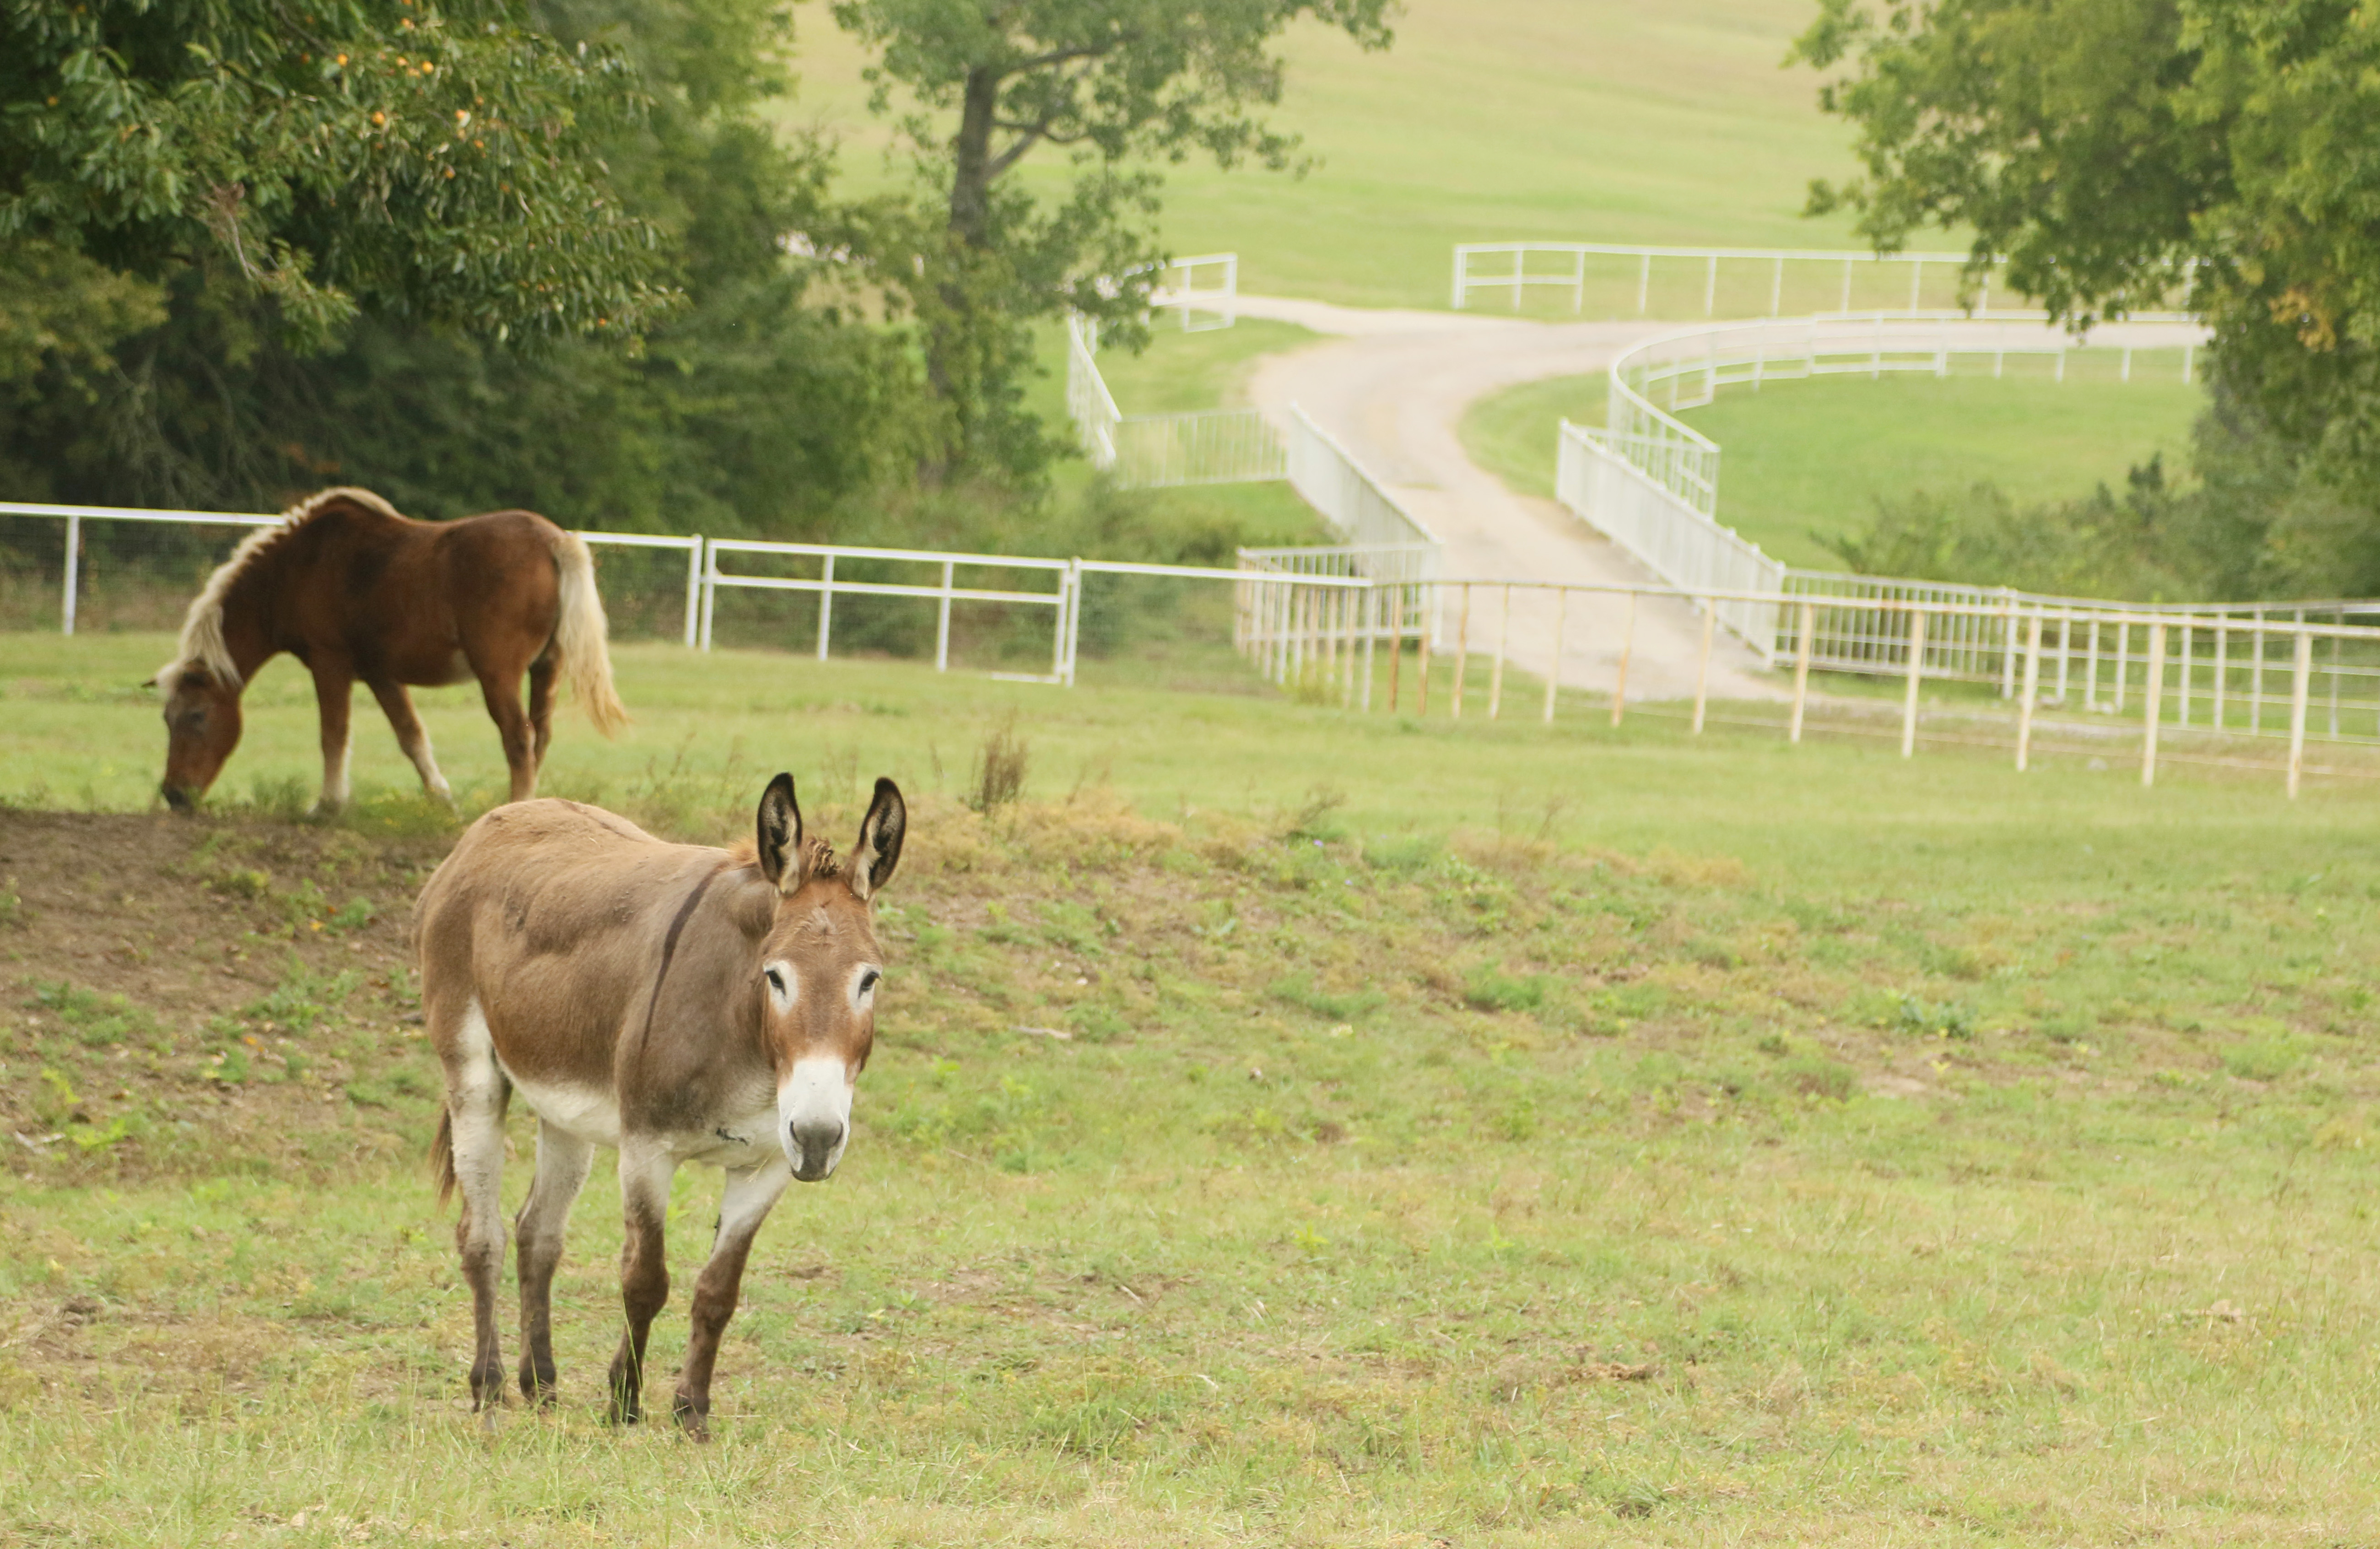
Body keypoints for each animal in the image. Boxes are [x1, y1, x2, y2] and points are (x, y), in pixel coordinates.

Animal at [151, 490, 623, 818]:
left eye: (197, 716)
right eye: (166, 720)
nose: (174, 795)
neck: (295, 567)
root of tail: (553, 541)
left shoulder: (329, 662)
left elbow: (334, 734)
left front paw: (327, 805)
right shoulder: (380, 673)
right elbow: (411, 736)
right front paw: (441, 800)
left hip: (498, 674)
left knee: (519, 740)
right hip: (547, 668)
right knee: (540, 735)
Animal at [414, 776, 904, 1446]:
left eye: (868, 980)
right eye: (776, 977)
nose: (819, 1138)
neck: (747, 1044)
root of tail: (498, 819)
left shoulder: (767, 1164)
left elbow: (718, 1290)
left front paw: (691, 1411)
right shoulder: (647, 1148)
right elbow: (646, 1279)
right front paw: (624, 1402)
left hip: (564, 1103)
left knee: (538, 1232)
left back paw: (540, 1384)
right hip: (472, 1071)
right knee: (481, 1235)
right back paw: (487, 1389)